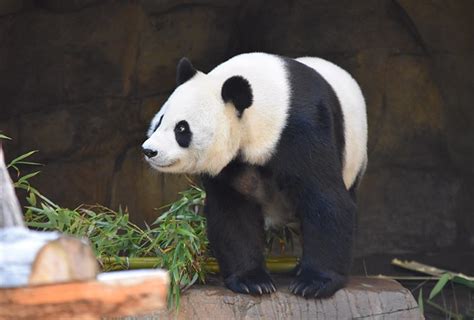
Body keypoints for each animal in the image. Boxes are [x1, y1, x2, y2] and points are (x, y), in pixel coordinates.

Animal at [143, 52, 368, 298]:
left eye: (182, 129)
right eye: (160, 121)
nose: (149, 151)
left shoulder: (305, 128)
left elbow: (324, 198)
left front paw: (314, 283)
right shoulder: (233, 163)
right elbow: (232, 211)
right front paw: (252, 281)